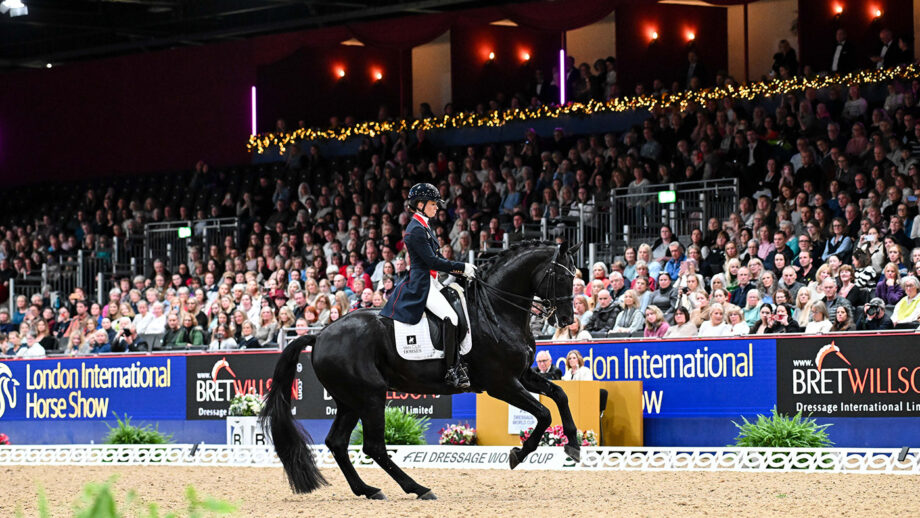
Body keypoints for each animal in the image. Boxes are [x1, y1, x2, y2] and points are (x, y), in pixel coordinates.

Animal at [260, 242, 576, 502]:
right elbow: (544, 413)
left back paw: (368, 490)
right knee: (373, 446)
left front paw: (573, 446)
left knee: (337, 442)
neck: (496, 311)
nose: (566, 320)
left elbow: (560, 395)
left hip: (350, 400)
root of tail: (321, 335)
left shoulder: (521, 375)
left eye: (575, 275)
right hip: (370, 396)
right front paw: (518, 454)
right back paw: (418, 488)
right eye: (562, 277)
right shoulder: (501, 384)